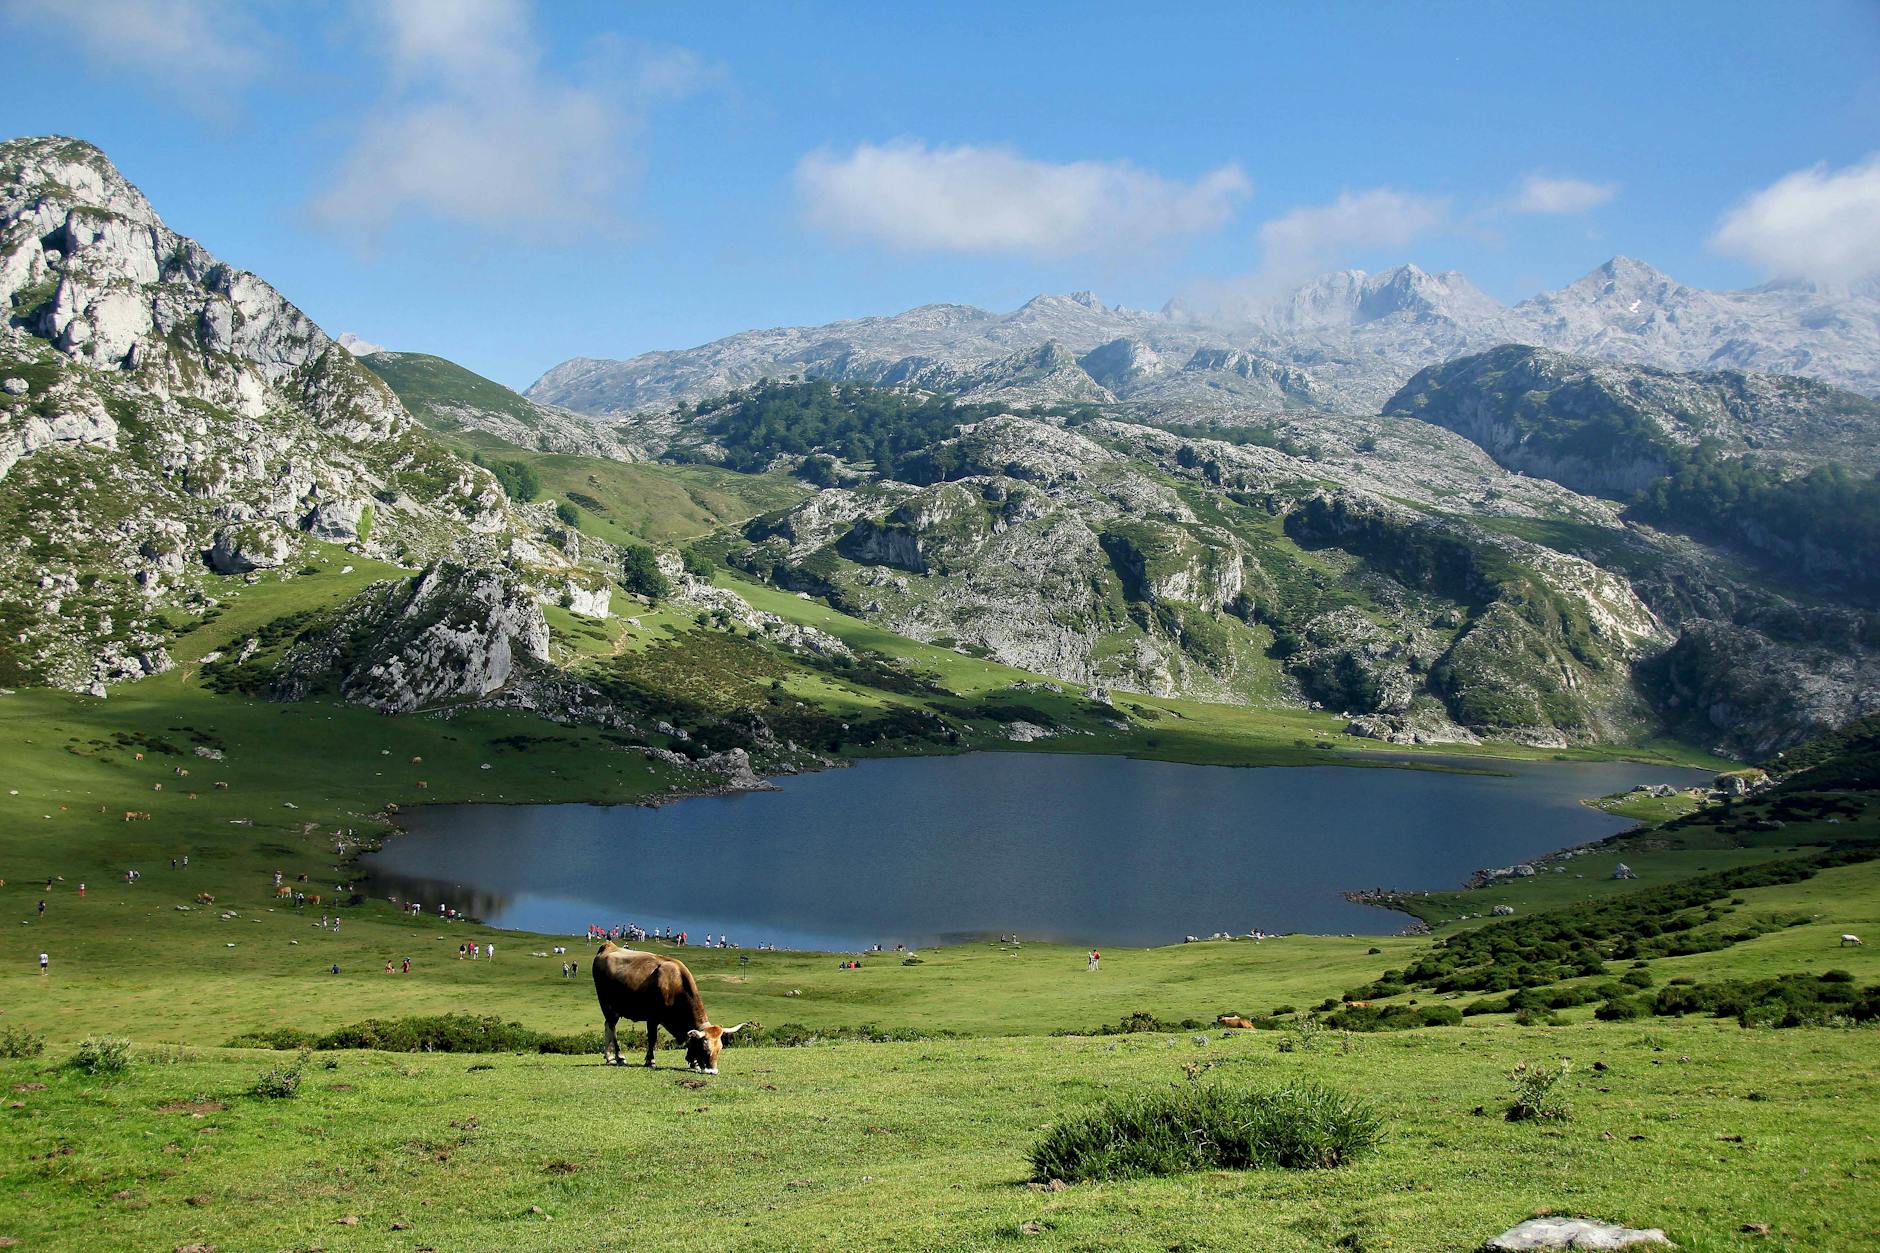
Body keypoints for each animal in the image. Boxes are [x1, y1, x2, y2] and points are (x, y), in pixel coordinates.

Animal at [592, 941, 748, 1073]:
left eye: (720, 1048)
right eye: (705, 1048)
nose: (713, 1071)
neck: (675, 983)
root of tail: (608, 946)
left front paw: (694, 1063)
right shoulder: (653, 1018)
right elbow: (652, 1038)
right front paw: (650, 1060)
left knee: (607, 1027)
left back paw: (609, 1057)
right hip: (608, 1006)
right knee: (612, 1029)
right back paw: (619, 1057)